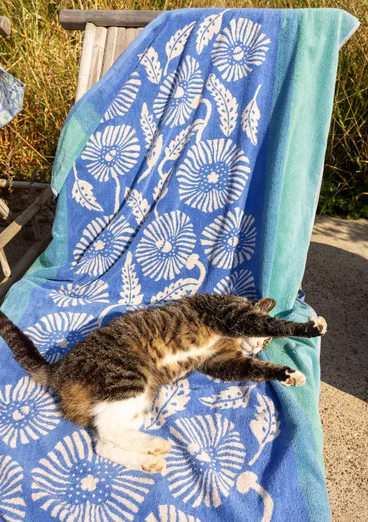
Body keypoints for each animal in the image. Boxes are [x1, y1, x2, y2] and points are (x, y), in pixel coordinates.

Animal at [0, 292, 328, 472]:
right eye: (266, 339)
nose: (259, 345)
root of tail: (59, 369)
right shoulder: (231, 314)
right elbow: (275, 323)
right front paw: (311, 328)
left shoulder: (223, 361)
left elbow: (255, 368)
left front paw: (288, 374)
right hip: (127, 377)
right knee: (106, 430)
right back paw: (155, 445)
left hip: (137, 398)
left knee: (102, 441)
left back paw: (148, 459)